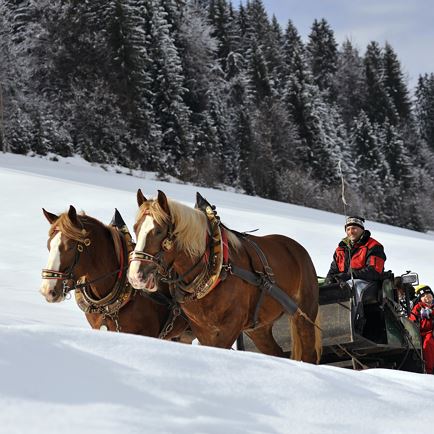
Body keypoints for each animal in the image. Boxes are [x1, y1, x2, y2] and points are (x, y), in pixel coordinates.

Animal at [127, 190, 320, 362]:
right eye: (136, 228)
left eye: (159, 231)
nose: (135, 275)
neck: (216, 266)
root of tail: (297, 249)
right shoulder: (202, 329)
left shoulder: (231, 326)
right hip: (259, 329)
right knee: (276, 352)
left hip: (304, 315)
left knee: (308, 354)